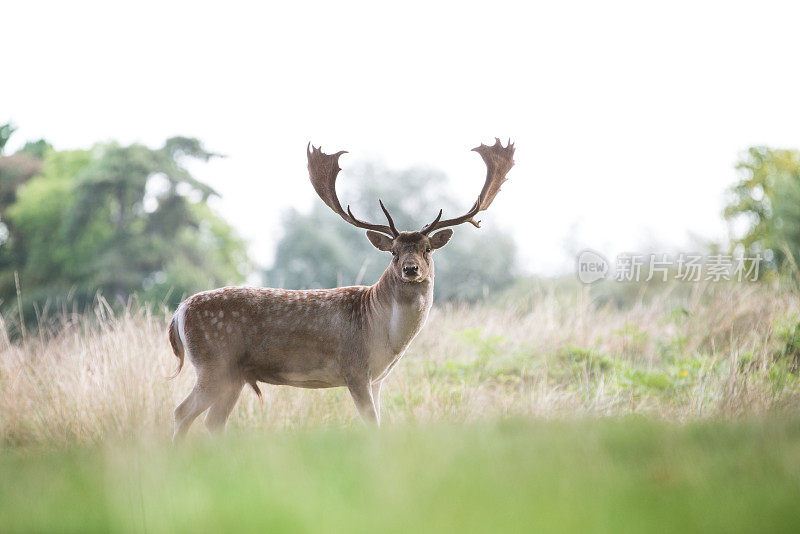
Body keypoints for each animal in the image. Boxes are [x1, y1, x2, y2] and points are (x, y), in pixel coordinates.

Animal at [168, 138, 516, 440]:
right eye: (393, 252)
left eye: (427, 249)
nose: (410, 269)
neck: (384, 334)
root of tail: (178, 314)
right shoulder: (355, 369)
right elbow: (371, 424)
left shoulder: (377, 380)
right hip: (214, 363)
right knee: (182, 411)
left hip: (235, 375)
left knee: (212, 421)